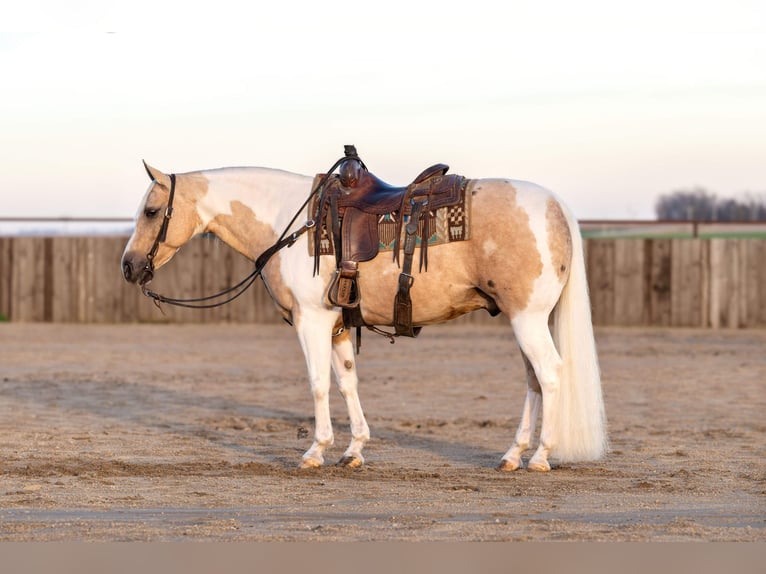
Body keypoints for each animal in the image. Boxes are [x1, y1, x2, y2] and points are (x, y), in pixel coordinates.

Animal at [123, 156, 608, 472]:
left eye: (151, 211)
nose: (128, 266)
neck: (289, 223)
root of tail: (556, 205)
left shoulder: (312, 320)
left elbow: (319, 383)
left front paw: (315, 451)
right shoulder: (339, 324)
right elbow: (347, 381)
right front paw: (353, 450)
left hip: (527, 318)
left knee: (549, 374)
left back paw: (541, 457)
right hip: (523, 319)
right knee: (533, 381)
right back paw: (513, 455)